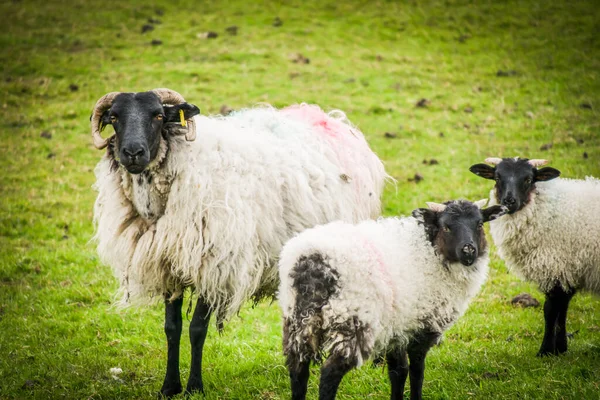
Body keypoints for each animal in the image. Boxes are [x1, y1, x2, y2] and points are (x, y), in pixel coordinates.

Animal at [89, 88, 390, 396]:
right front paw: (169, 386)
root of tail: (329, 118)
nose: (133, 153)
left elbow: (197, 330)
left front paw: (194, 387)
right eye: (114, 117)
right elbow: (171, 328)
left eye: (159, 116)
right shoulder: (168, 266)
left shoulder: (214, 265)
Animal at [278, 198, 504, 398]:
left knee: (298, 371)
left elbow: (398, 371)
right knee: (329, 373)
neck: (431, 250)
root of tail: (312, 263)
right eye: (446, 227)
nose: (469, 251)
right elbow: (417, 371)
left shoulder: (397, 330)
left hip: (298, 322)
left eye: (479, 224)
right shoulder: (421, 327)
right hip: (352, 321)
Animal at [468, 156, 600, 356]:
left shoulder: (556, 266)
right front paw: (560, 348)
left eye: (528, 179)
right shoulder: (568, 270)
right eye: (497, 177)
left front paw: (546, 351)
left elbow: (551, 310)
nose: (508, 201)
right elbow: (563, 309)